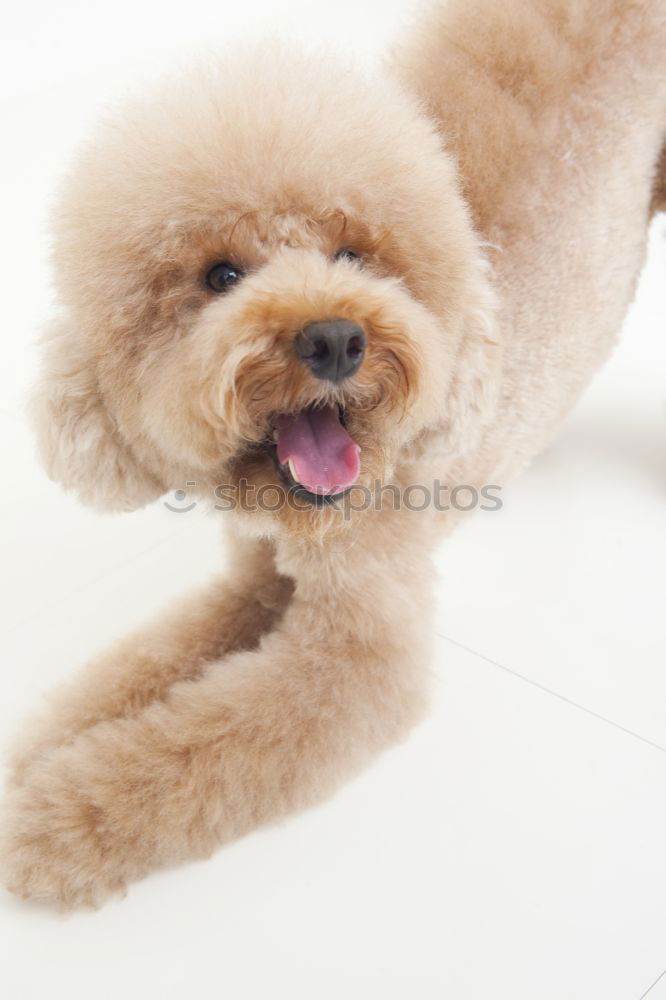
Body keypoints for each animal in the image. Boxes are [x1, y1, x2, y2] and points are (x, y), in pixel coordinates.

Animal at [3, 0, 664, 908]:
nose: (335, 339)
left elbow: (192, 751)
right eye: (220, 275)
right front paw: (38, 755)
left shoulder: (361, 657)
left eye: (353, 255)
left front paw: (53, 819)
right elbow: (135, 671)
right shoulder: (253, 581)